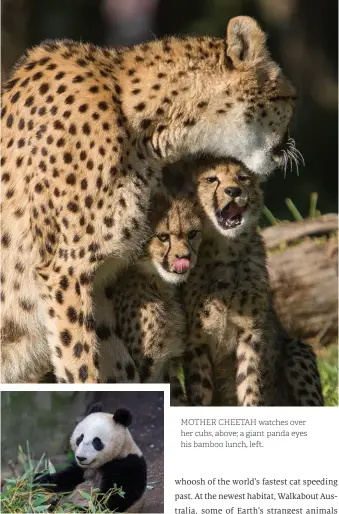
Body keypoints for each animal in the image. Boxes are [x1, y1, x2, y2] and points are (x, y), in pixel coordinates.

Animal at [1, 16, 296, 380]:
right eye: (289, 97)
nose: (288, 143)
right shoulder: (65, 271)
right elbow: (82, 366)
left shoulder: (99, 279)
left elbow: (117, 367)